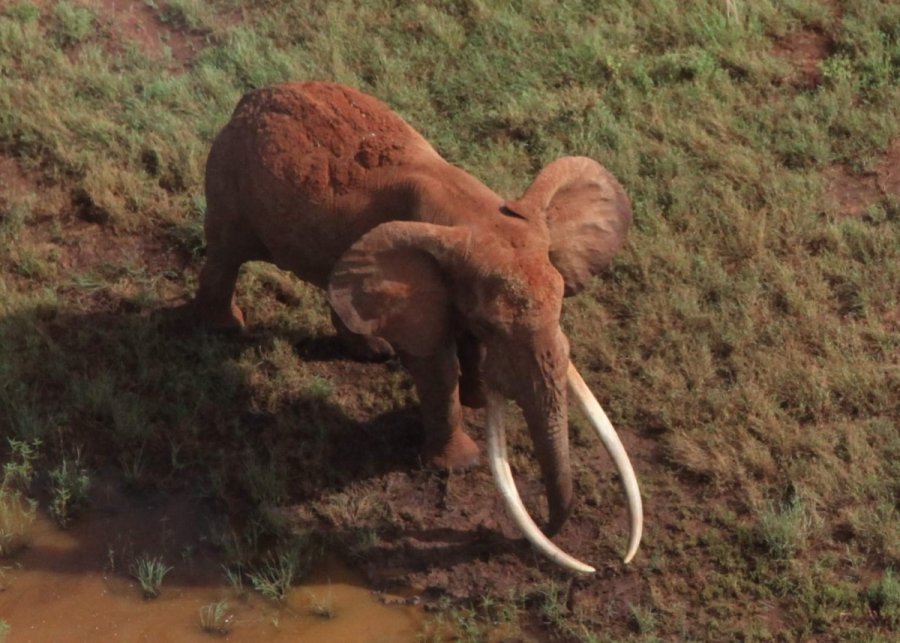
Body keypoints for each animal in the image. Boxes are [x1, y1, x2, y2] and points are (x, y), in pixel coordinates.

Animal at [190, 82, 640, 572]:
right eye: (492, 325)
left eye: (560, 307)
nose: (600, 564)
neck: (473, 211)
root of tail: (250, 99)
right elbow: (434, 362)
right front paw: (460, 464)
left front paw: (477, 400)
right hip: (229, 181)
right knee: (227, 251)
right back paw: (223, 329)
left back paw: (370, 351)